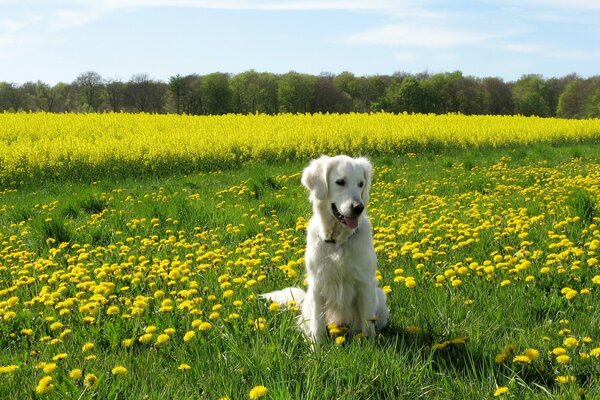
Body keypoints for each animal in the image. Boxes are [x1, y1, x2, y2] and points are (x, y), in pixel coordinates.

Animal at [262, 155, 390, 342]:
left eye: (361, 184)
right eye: (340, 182)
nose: (359, 207)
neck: (338, 241)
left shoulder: (364, 283)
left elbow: (367, 323)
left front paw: (369, 344)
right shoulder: (318, 283)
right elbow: (318, 324)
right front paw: (317, 346)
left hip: (379, 295)